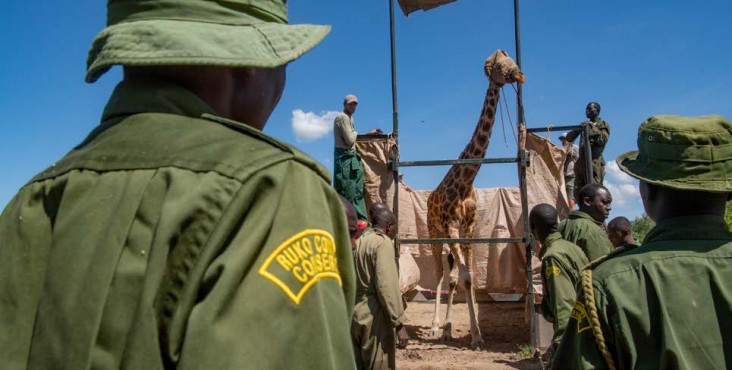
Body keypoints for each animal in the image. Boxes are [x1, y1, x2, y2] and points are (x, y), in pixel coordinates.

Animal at [426, 49, 524, 350]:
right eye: (496, 65)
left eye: (509, 57)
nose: (519, 74)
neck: (466, 181)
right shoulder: (452, 226)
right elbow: (463, 277)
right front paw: (453, 331)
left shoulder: (468, 229)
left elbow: (468, 279)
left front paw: (477, 336)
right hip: (434, 233)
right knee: (439, 274)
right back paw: (434, 326)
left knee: (451, 274)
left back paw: (445, 328)